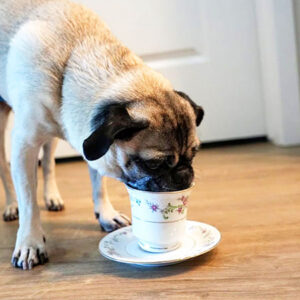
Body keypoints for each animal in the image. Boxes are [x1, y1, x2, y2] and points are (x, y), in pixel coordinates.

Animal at [0, 0, 204, 270]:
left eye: (194, 155)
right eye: (153, 164)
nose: (184, 174)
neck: (73, 61)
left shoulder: (90, 139)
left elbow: (98, 184)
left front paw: (105, 214)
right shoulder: (25, 145)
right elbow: (29, 202)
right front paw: (30, 242)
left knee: (49, 161)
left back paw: (52, 196)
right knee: (6, 172)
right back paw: (12, 205)